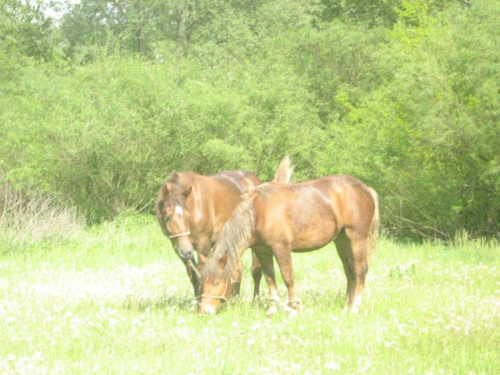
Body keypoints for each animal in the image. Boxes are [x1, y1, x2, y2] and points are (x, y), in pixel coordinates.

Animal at [154, 157, 292, 302]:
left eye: (187, 216)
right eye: (167, 218)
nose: (186, 251)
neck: (195, 203)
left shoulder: (203, 244)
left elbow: (201, 272)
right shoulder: (181, 247)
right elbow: (193, 276)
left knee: (256, 269)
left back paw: (255, 299)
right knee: (238, 270)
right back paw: (232, 298)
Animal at [199, 176, 378, 314]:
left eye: (217, 283)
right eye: (202, 282)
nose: (204, 312)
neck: (258, 212)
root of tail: (367, 189)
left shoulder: (281, 248)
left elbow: (288, 277)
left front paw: (294, 307)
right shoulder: (263, 251)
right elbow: (270, 278)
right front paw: (273, 308)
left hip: (356, 239)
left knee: (360, 270)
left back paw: (355, 307)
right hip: (341, 241)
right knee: (349, 271)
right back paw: (346, 307)